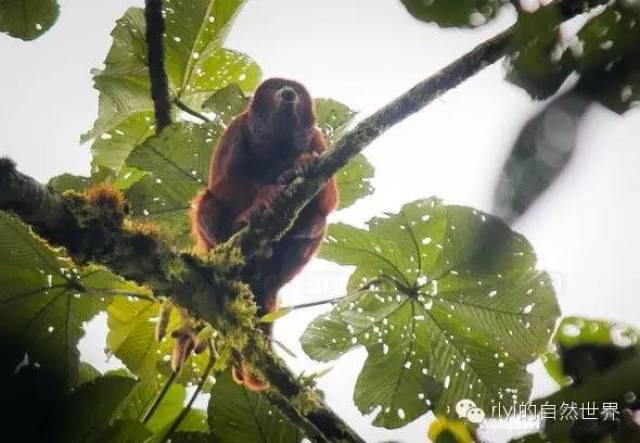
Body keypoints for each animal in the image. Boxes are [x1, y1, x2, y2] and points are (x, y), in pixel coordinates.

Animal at [189, 78, 339, 390]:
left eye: (294, 89)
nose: (288, 92)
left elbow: (329, 200)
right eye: (278, 86)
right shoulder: (236, 127)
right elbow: (222, 183)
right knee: (207, 202)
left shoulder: (318, 140)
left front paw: (300, 164)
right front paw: (264, 196)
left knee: (319, 219)